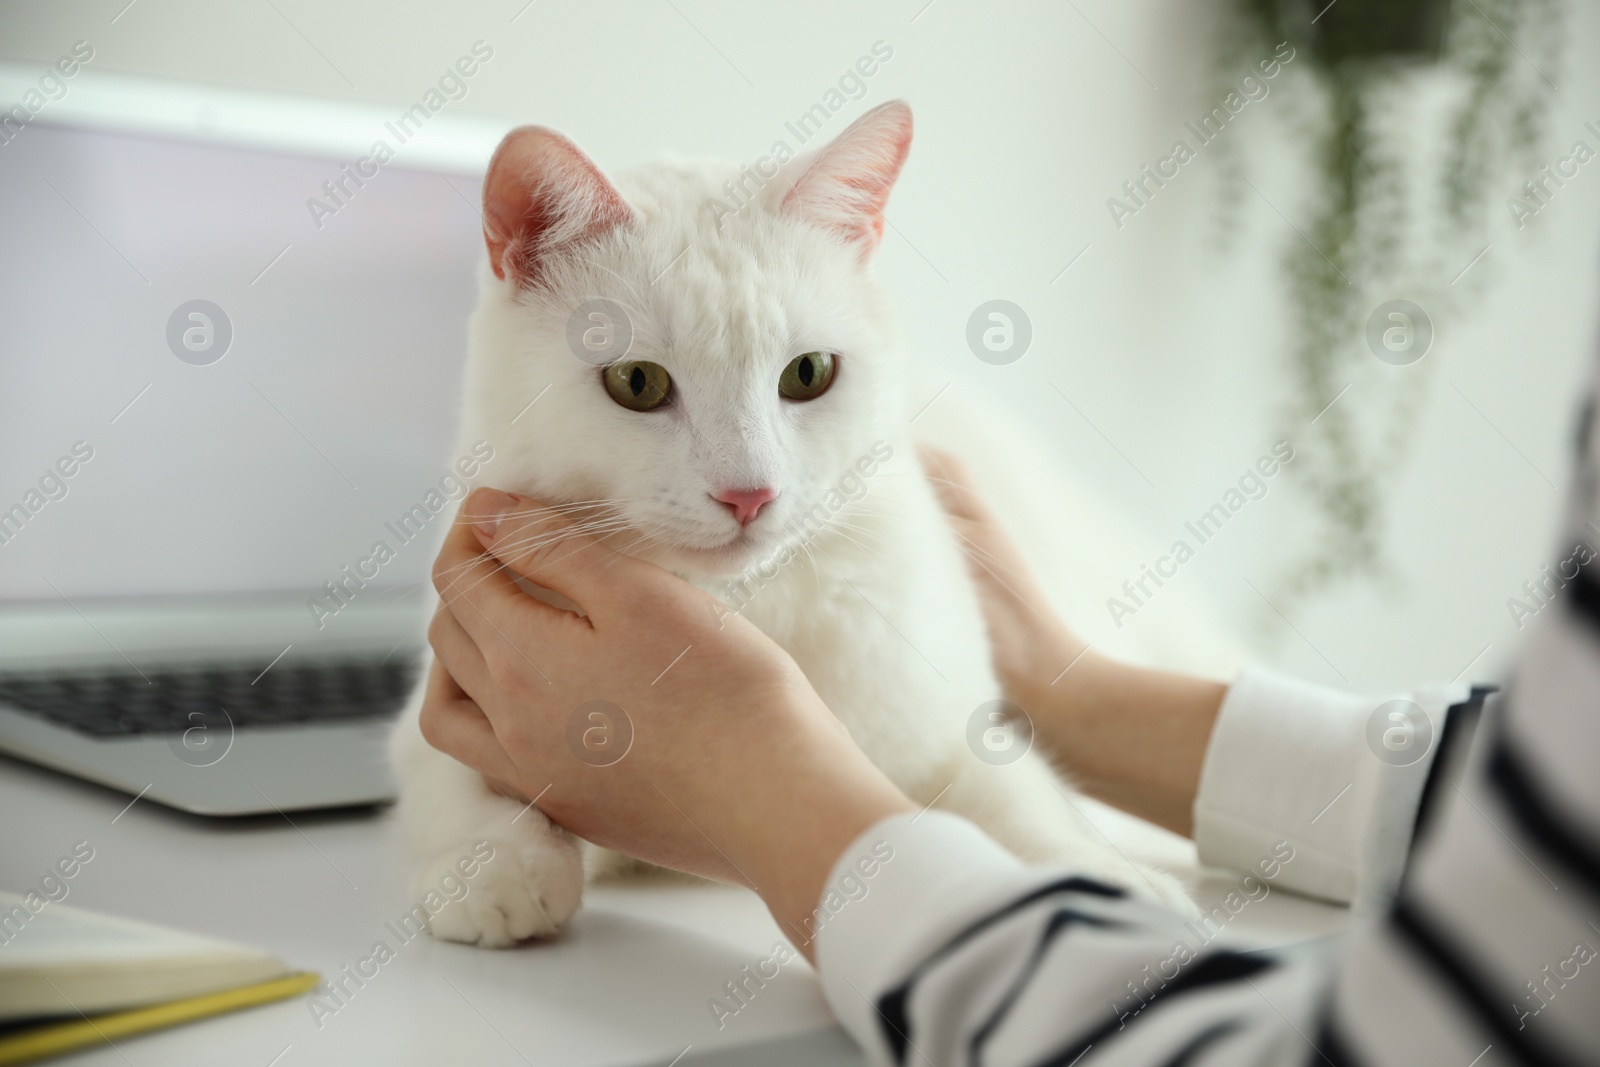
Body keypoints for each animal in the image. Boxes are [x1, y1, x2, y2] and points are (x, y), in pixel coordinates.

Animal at [387, 99, 1190, 947]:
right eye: (636, 382)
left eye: (808, 374)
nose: (749, 494)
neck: (743, 603)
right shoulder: (441, 699)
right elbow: (454, 776)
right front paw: (493, 865)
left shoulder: (949, 731)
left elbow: (1018, 799)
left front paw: (1111, 879)